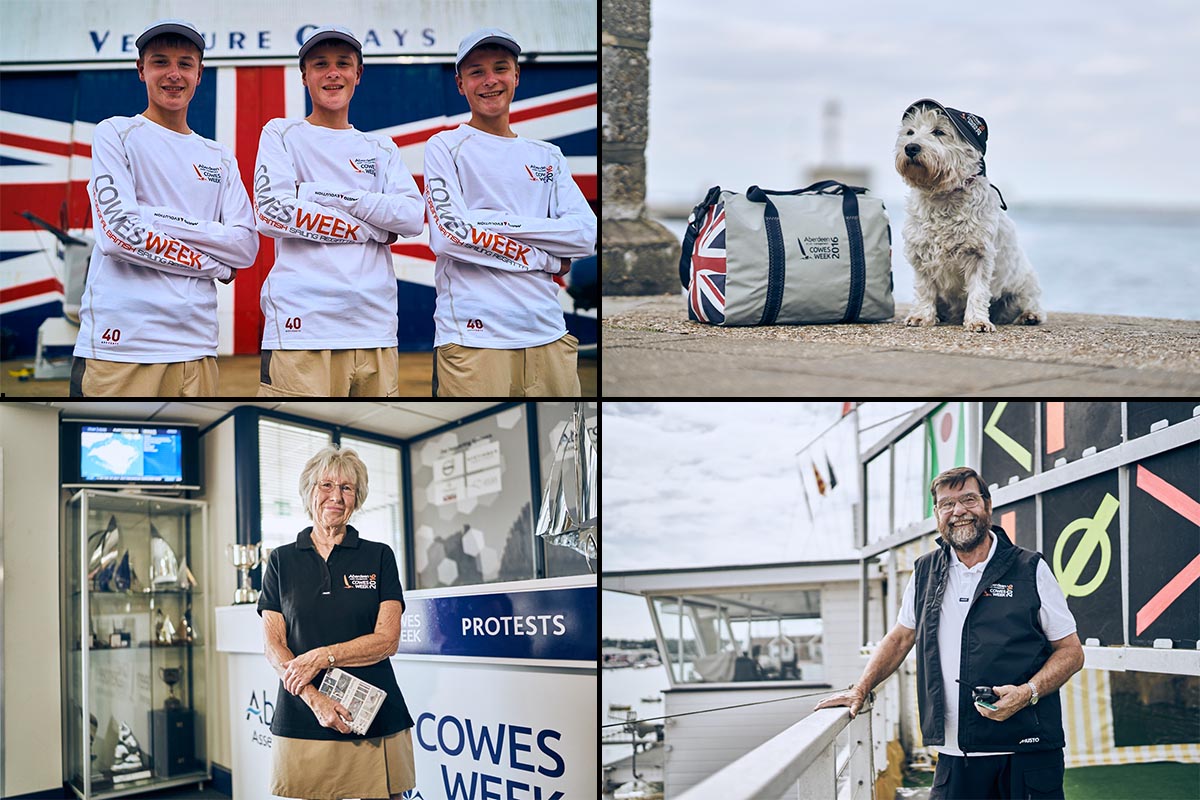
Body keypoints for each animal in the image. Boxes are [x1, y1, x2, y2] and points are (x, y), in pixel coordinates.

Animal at [892, 100, 1041, 331]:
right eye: (910, 132)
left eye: (939, 131)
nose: (911, 147)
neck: (942, 196)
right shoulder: (921, 254)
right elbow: (925, 289)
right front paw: (921, 317)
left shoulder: (978, 254)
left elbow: (978, 290)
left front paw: (978, 321)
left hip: (1023, 282)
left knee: (1029, 300)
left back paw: (1029, 316)